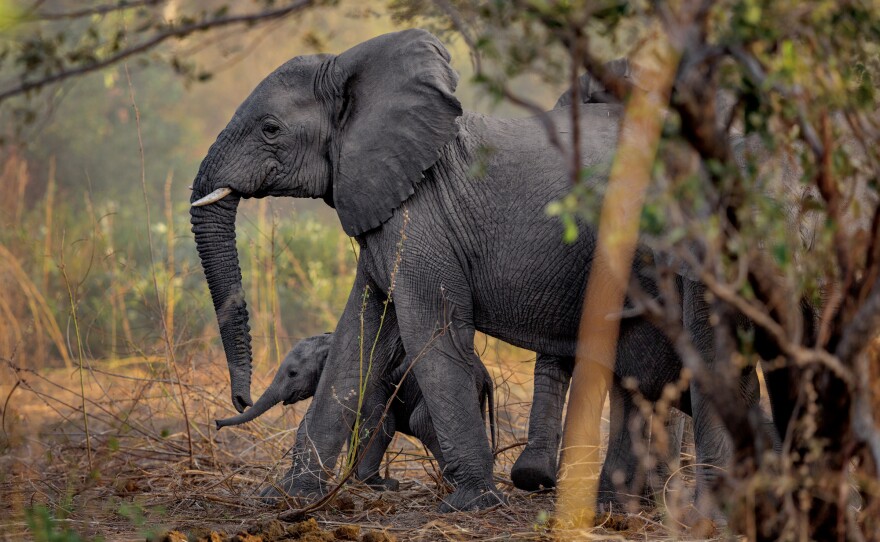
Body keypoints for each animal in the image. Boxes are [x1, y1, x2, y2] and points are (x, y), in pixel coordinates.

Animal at [213, 334, 496, 490]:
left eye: (293, 373)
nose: (216, 423)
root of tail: (486, 375)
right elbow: (353, 427)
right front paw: (351, 482)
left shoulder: (372, 383)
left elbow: (380, 425)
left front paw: (379, 485)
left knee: (421, 422)